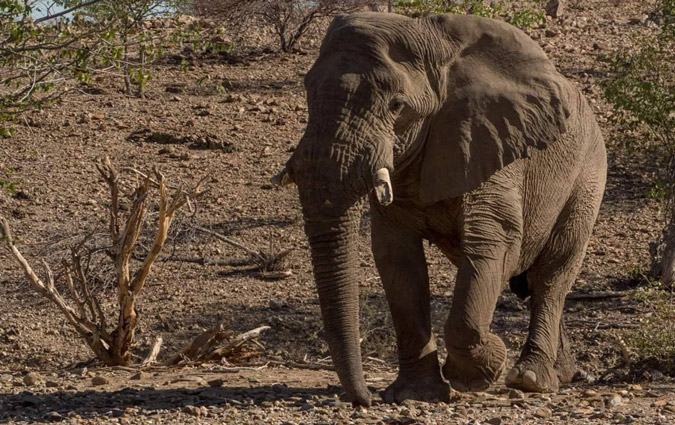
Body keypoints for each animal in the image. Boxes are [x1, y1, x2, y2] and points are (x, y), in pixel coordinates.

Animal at [272, 11, 608, 406]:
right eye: (308, 92)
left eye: (397, 106)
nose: (365, 398)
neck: (434, 44)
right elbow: (396, 257)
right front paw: (415, 394)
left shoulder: (489, 138)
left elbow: (494, 239)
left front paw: (480, 371)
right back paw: (562, 373)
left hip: (587, 175)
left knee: (551, 275)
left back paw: (531, 380)